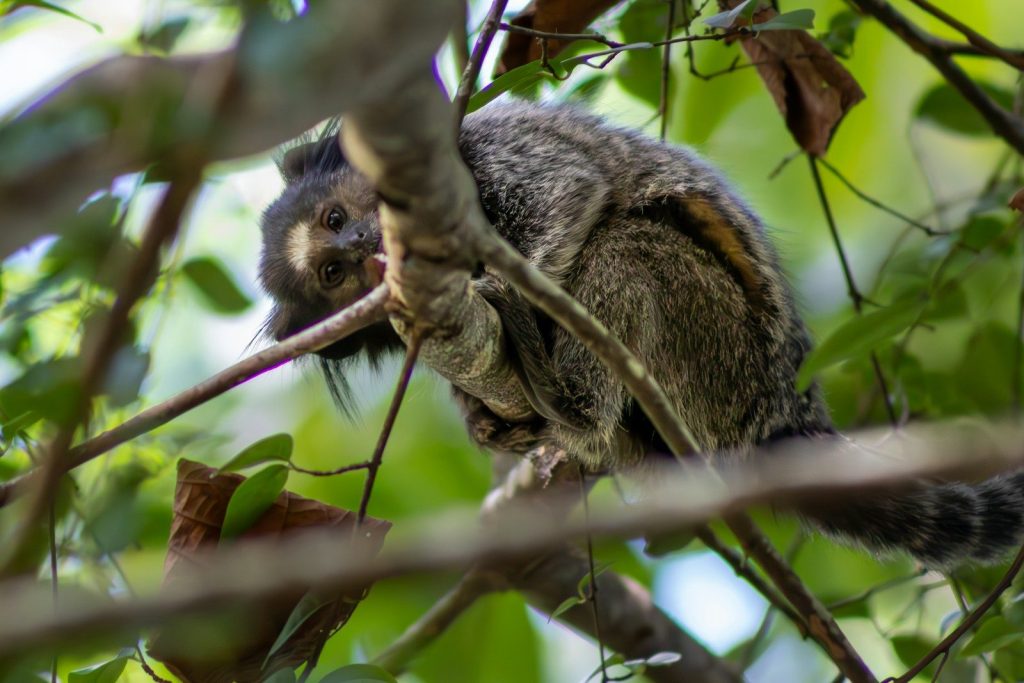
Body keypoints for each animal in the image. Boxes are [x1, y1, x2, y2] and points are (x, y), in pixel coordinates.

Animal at [258, 100, 1024, 568]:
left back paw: (569, 399)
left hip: (718, 350)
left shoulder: (488, 153)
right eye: (332, 272)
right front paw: (488, 420)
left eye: (334, 218)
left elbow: (571, 196)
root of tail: (784, 407)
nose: (361, 244)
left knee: (626, 244)